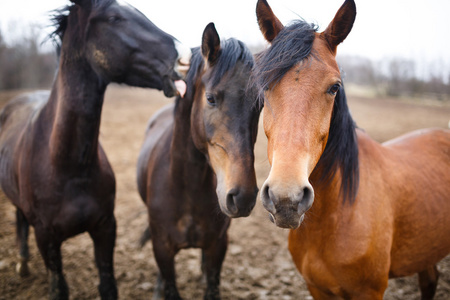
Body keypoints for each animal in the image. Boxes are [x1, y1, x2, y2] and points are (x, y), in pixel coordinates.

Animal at [0, 1, 190, 298]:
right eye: (114, 18)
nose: (185, 58)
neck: (67, 165)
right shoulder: (47, 239)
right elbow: (58, 288)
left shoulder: (105, 228)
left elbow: (108, 285)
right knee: (19, 218)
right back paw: (21, 262)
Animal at [135, 22, 258, 298]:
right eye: (210, 98)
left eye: (260, 105)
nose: (243, 196)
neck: (186, 188)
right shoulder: (162, 249)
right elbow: (170, 283)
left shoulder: (217, 247)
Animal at [251, 1, 450, 298]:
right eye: (264, 86)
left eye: (335, 87)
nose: (286, 199)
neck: (335, 215)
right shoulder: (317, 288)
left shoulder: (369, 291)